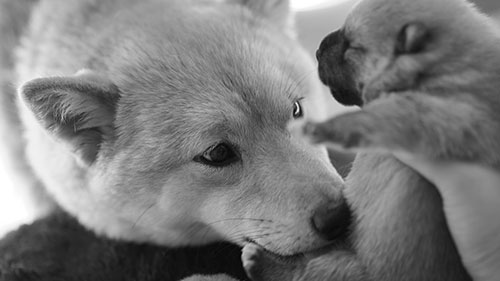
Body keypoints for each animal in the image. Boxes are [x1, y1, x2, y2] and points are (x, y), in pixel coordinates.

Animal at [242, 0, 500, 278]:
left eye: (352, 47)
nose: (318, 49)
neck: (445, 64)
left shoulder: (442, 113)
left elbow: (378, 118)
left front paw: (317, 128)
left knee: (309, 272)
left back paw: (263, 262)